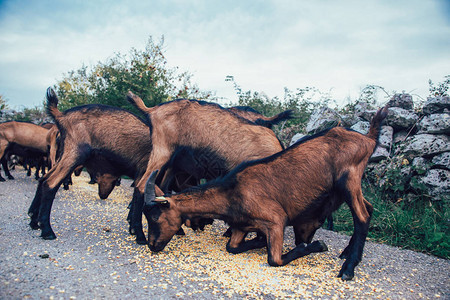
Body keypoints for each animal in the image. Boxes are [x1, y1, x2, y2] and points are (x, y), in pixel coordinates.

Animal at [125, 92, 284, 245]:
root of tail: (153, 110)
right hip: (162, 152)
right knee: (141, 186)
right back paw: (139, 235)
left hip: (171, 162)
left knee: (161, 187)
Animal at [142, 106, 388, 282]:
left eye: (155, 216)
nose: (152, 245)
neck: (231, 193)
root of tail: (368, 138)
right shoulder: (241, 227)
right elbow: (232, 247)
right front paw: (258, 242)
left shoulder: (276, 220)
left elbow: (274, 260)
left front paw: (313, 246)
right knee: (369, 208)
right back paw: (347, 255)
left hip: (349, 178)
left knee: (362, 217)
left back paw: (348, 269)